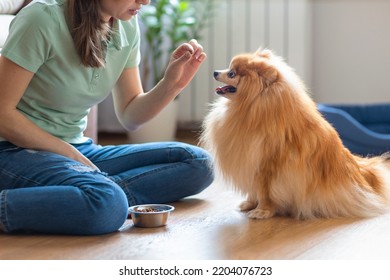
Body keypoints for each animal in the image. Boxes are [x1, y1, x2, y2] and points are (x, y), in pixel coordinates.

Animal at [201, 47, 390, 219]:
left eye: (232, 73)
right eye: (228, 68)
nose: (215, 72)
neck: (248, 107)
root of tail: (362, 173)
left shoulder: (265, 167)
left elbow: (264, 193)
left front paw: (262, 211)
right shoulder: (250, 163)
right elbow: (253, 190)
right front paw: (249, 204)